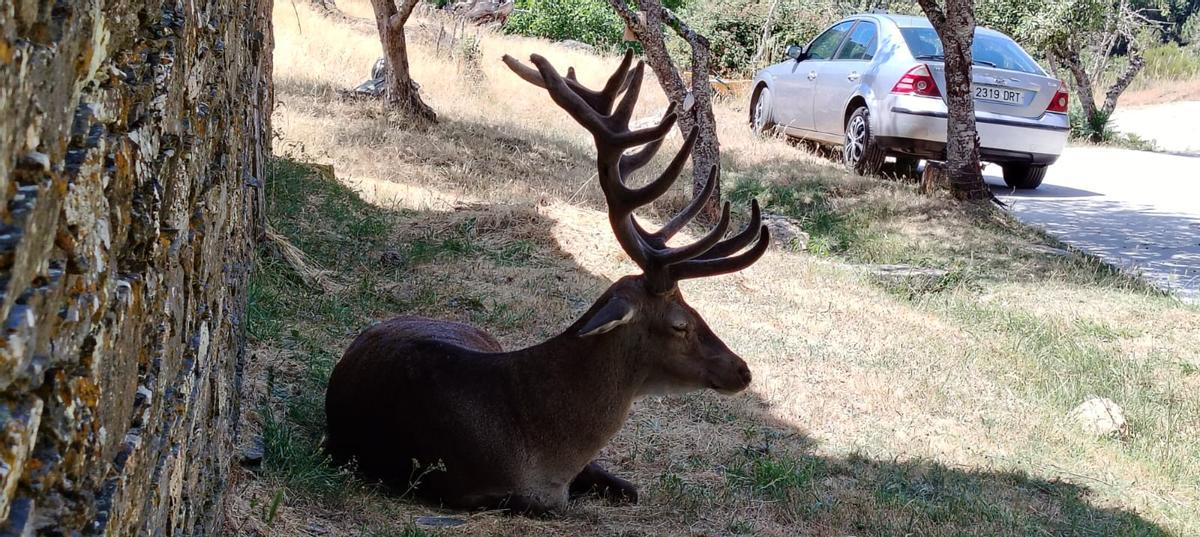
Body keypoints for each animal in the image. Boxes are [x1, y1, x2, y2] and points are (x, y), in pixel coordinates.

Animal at [323, 50, 770, 515]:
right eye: (680, 324)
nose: (743, 370)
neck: (542, 444)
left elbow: (630, 489)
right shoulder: (464, 485)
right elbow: (549, 503)